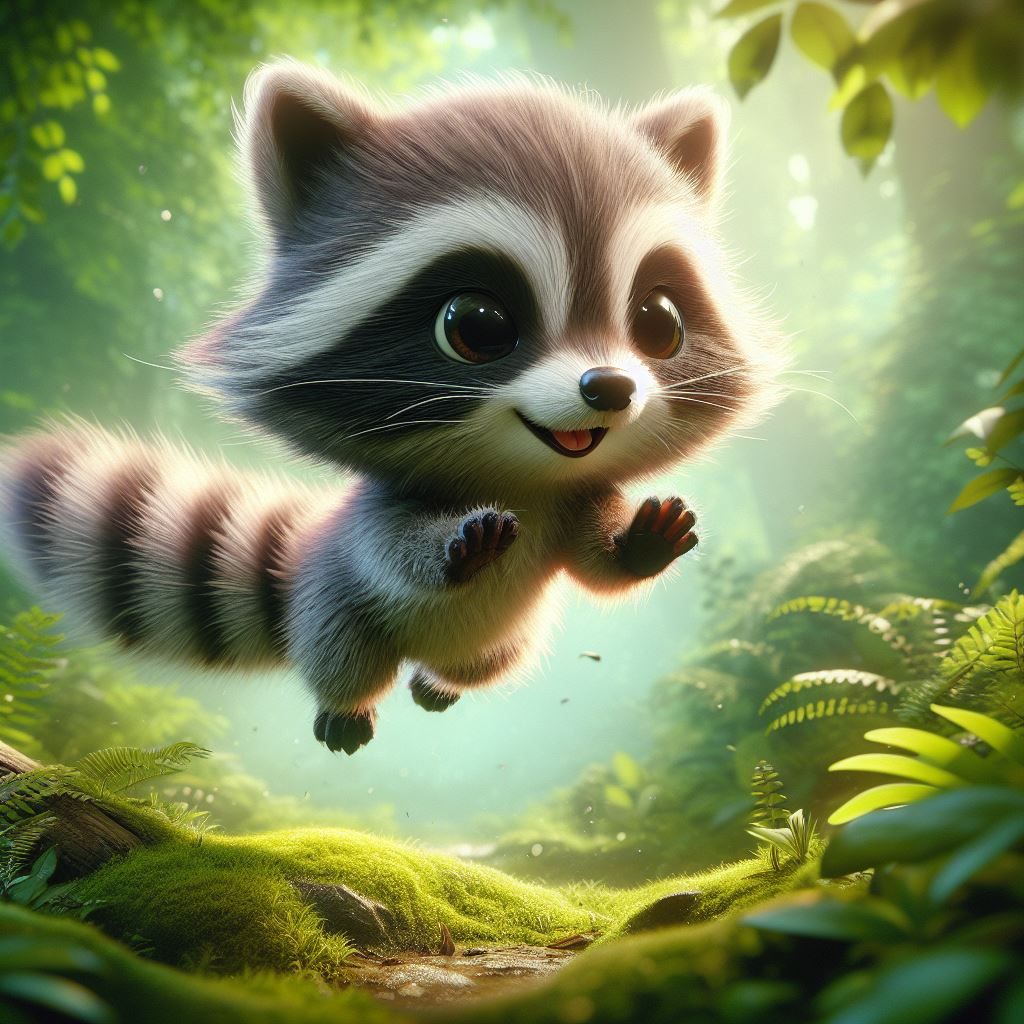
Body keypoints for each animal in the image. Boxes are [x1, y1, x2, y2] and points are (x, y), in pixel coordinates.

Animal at [0, 61, 779, 755]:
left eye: (658, 324)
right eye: (478, 326)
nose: (610, 388)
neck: (523, 482)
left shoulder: (572, 498)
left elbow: (596, 564)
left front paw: (640, 542)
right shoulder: (384, 517)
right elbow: (394, 554)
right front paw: (456, 548)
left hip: (508, 640)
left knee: (484, 662)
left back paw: (438, 684)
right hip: (333, 605)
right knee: (344, 650)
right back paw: (346, 706)